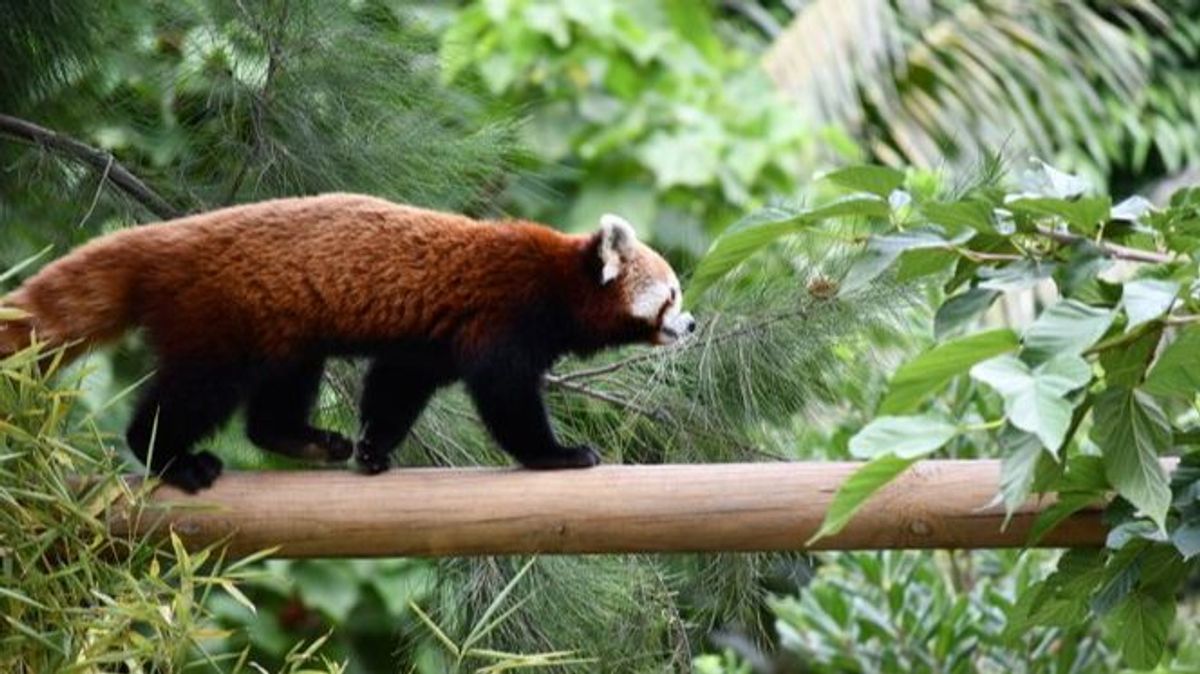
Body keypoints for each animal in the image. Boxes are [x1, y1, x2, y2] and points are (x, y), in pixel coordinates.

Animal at [0, 193, 696, 486]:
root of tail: (168, 239)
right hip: (222, 320)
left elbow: (395, 385)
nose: (692, 326)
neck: (559, 279)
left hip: (286, 330)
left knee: (277, 395)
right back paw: (173, 459)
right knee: (195, 393)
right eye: (672, 295)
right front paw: (557, 454)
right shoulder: (503, 317)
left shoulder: (428, 341)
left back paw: (305, 440)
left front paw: (372, 448)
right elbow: (506, 398)